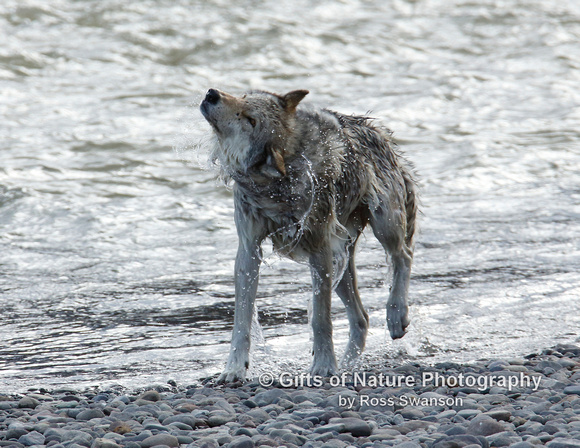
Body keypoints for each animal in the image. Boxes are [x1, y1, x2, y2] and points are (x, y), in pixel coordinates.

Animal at [199, 89, 416, 384]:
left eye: (250, 120)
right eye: (243, 96)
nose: (212, 93)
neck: (279, 185)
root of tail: (380, 132)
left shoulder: (318, 251)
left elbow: (321, 319)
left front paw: (323, 366)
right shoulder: (248, 251)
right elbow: (241, 320)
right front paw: (233, 369)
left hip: (384, 226)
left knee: (403, 256)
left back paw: (396, 315)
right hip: (340, 262)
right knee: (361, 318)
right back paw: (347, 365)